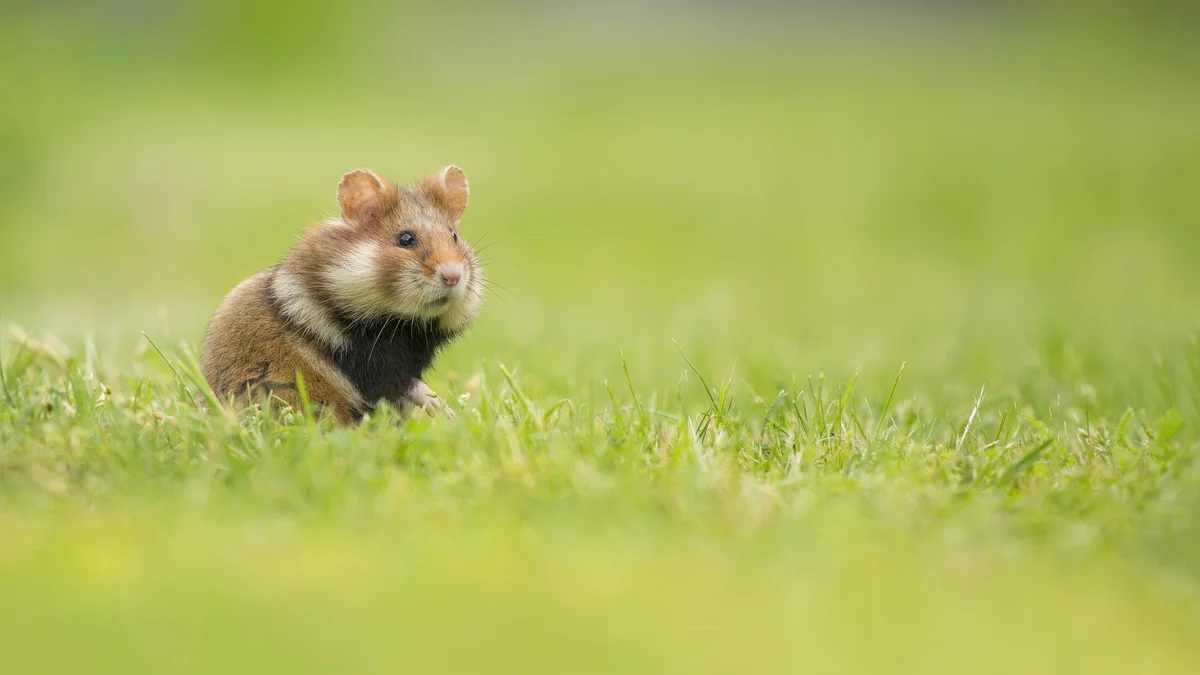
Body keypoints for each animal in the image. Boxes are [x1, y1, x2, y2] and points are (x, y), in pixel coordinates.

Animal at [200, 166, 483, 424]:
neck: (400, 322)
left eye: (454, 236)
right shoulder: (365, 360)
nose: (453, 276)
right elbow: (409, 386)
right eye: (405, 239)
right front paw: (446, 411)